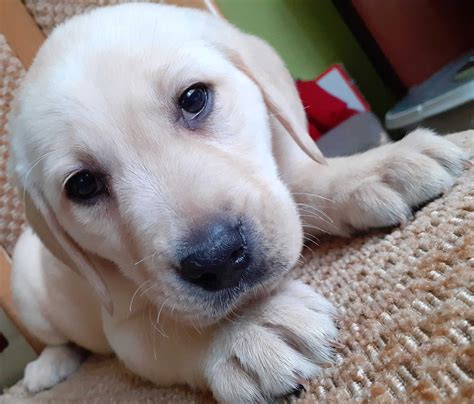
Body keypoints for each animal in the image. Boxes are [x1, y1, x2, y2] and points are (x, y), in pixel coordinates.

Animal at [7, 3, 466, 404]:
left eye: (194, 99)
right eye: (83, 186)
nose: (218, 258)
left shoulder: (278, 183)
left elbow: (306, 182)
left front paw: (377, 167)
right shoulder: (125, 326)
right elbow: (171, 331)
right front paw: (246, 334)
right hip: (27, 294)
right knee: (57, 341)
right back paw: (46, 367)